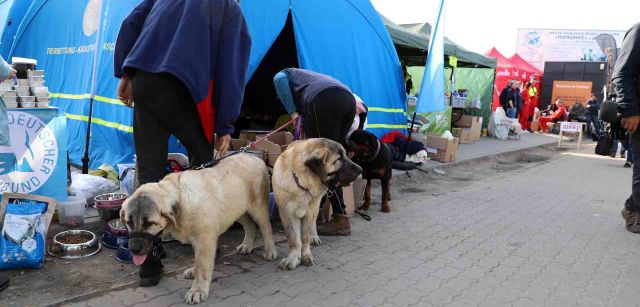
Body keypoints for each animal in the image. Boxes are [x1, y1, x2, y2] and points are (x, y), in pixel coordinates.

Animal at [121, 155, 276, 304]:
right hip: (237, 209)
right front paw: (193, 272)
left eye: (149, 223)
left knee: (266, 227)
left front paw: (198, 290)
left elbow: (202, 264)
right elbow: (197, 261)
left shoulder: (204, 239)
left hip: (258, 208)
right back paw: (247, 245)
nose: (133, 249)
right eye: (128, 222)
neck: (180, 200)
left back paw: (270, 250)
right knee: (250, 226)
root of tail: (256, 157)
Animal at [272, 138, 362, 270]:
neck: (302, 184)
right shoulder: (287, 213)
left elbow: (305, 236)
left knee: (313, 223)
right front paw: (293, 258)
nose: (361, 170)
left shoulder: (309, 211)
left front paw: (305, 255)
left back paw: (314, 237)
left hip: (315, 206)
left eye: (345, 155)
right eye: (338, 158)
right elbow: (293, 238)